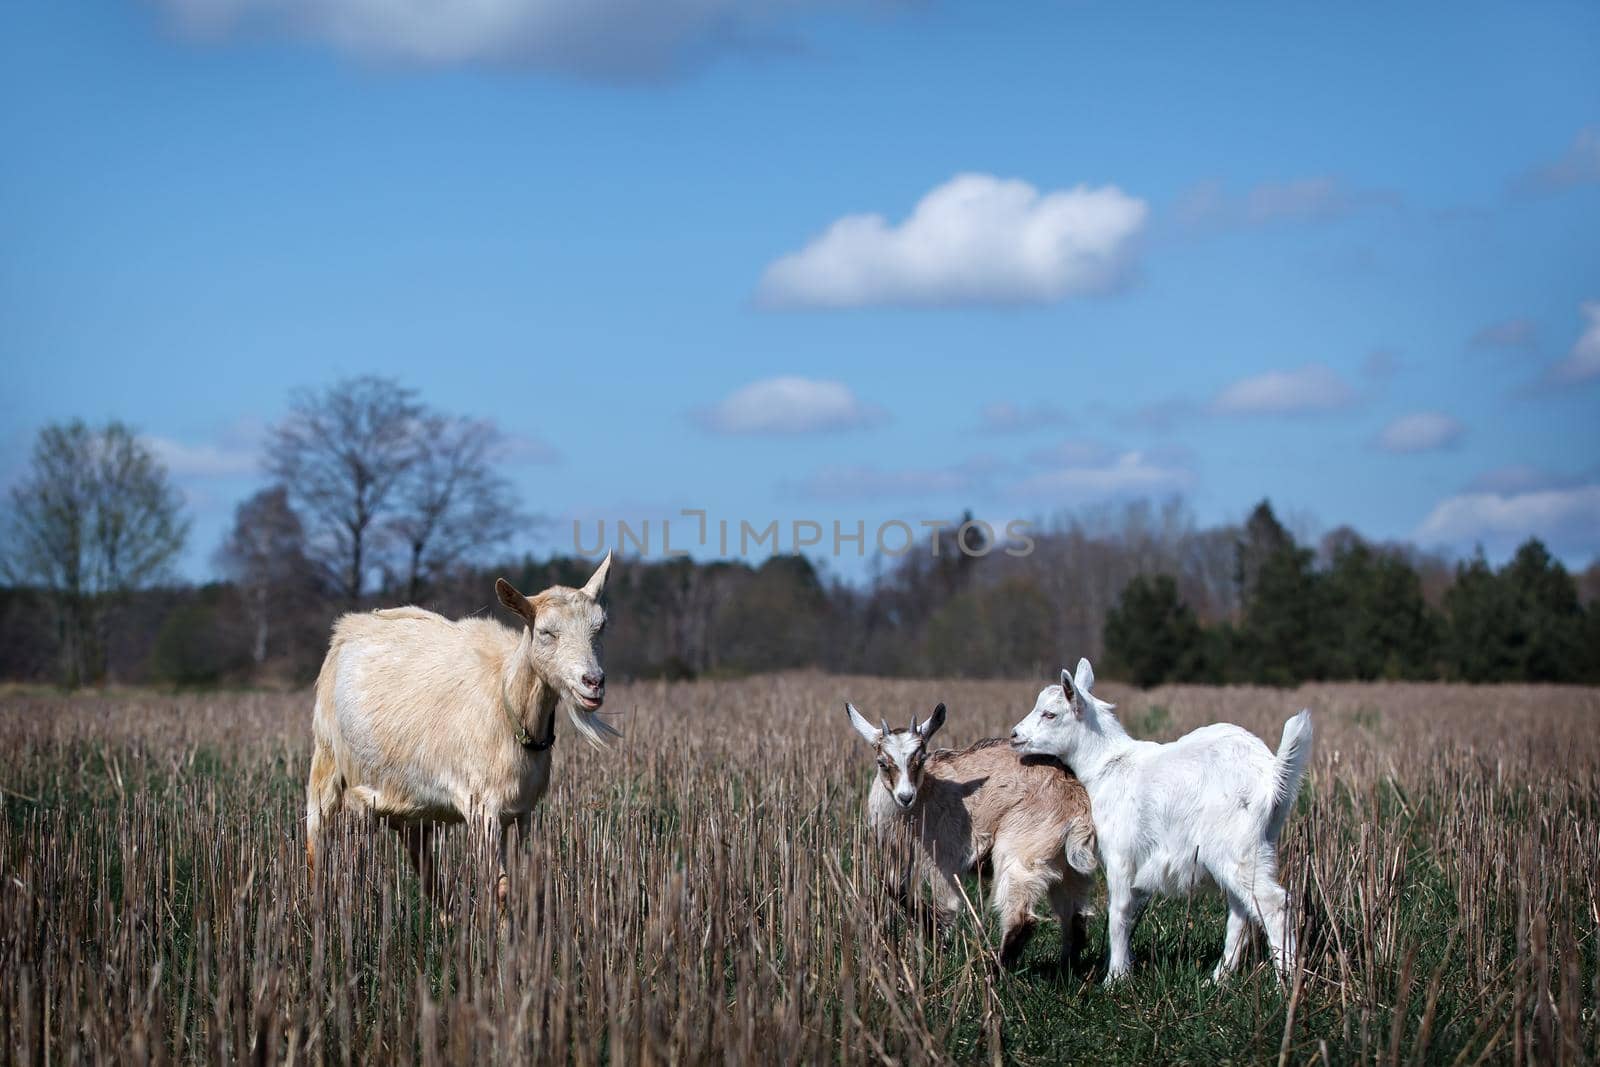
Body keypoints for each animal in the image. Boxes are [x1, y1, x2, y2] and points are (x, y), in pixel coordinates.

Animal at [302, 559, 614, 902]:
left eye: (600, 627)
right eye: (546, 632)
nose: (593, 681)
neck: (507, 699)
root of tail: (348, 627)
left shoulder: (522, 811)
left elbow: (519, 881)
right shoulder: (481, 807)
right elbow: (500, 885)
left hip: (410, 806)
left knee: (426, 870)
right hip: (327, 761)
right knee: (316, 842)